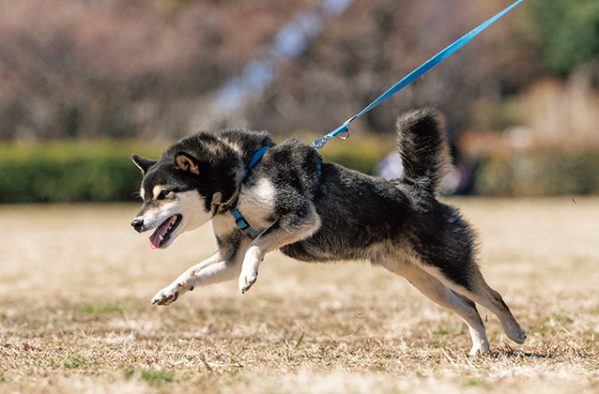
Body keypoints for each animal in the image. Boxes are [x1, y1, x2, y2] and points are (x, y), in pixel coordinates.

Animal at [130, 108, 524, 358]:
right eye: (143, 197)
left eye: (164, 194)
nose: (135, 224)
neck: (240, 177)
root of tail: (417, 189)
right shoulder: (229, 253)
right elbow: (192, 272)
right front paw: (169, 291)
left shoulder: (301, 217)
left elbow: (258, 245)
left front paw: (249, 277)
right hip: (423, 280)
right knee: (469, 307)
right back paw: (481, 347)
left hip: (447, 263)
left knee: (493, 296)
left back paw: (515, 332)